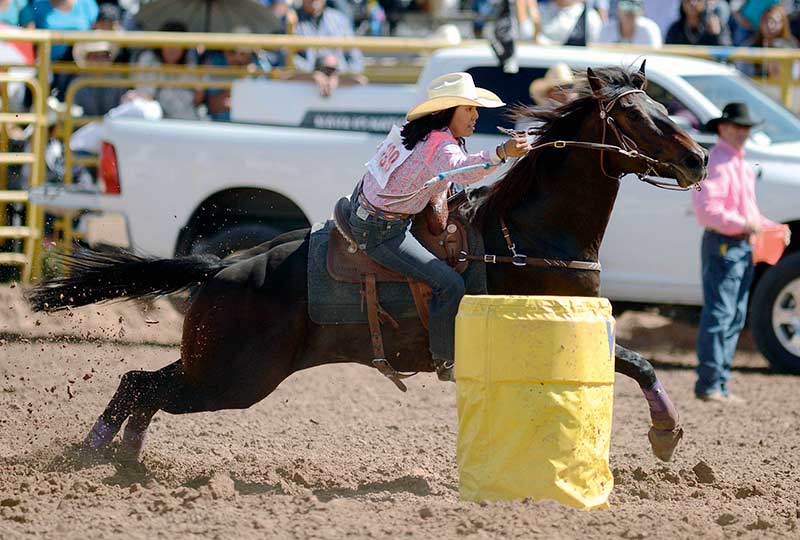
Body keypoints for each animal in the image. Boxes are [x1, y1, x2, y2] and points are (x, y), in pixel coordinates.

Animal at [29, 64, 708, 464]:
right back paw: (95, 457)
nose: (699, 158)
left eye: (661, 106)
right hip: (232, 377)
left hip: (218, 365)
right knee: (141, 386)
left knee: (139, 385)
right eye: (635, 115)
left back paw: (122, 461)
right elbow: (637, 362)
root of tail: (220, 270)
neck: (524, 233)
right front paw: (665, 435)